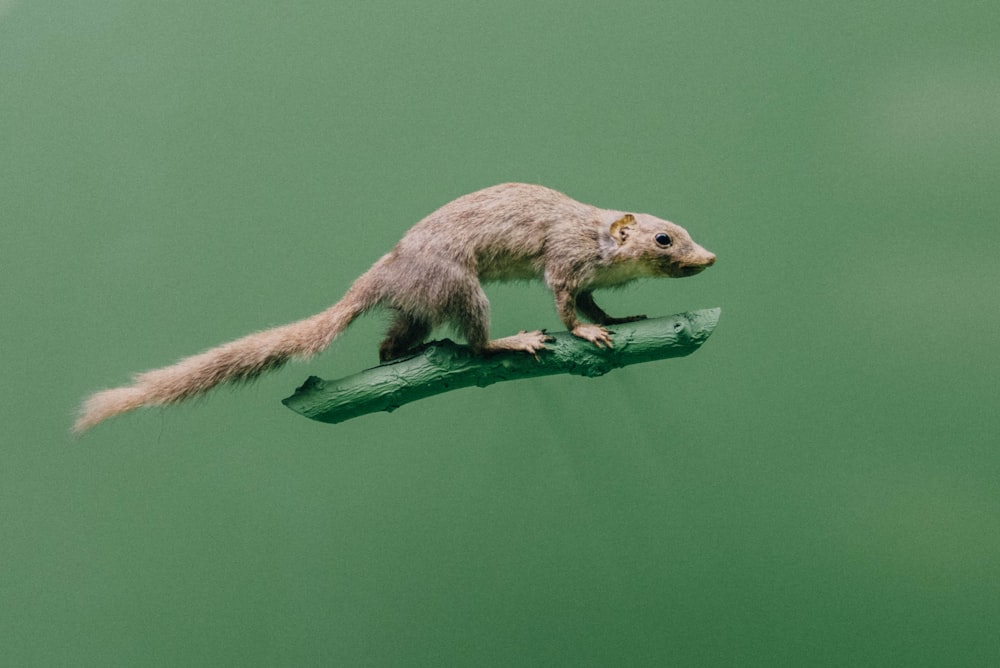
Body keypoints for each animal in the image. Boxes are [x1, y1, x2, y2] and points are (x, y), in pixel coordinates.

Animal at [74, 183, 715, 432]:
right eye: (665, 240)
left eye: (686, 232)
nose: (709, 257)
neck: (599, 241)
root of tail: (382, 273)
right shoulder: (563, 264)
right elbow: (566, 307)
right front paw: (585, 334)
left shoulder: (588, 280)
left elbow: (595, 305)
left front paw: (619, 319)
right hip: (461, 287)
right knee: (475, 339)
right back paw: (509, 342)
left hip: (419, 307)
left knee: (388, 342)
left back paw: (405, 357)